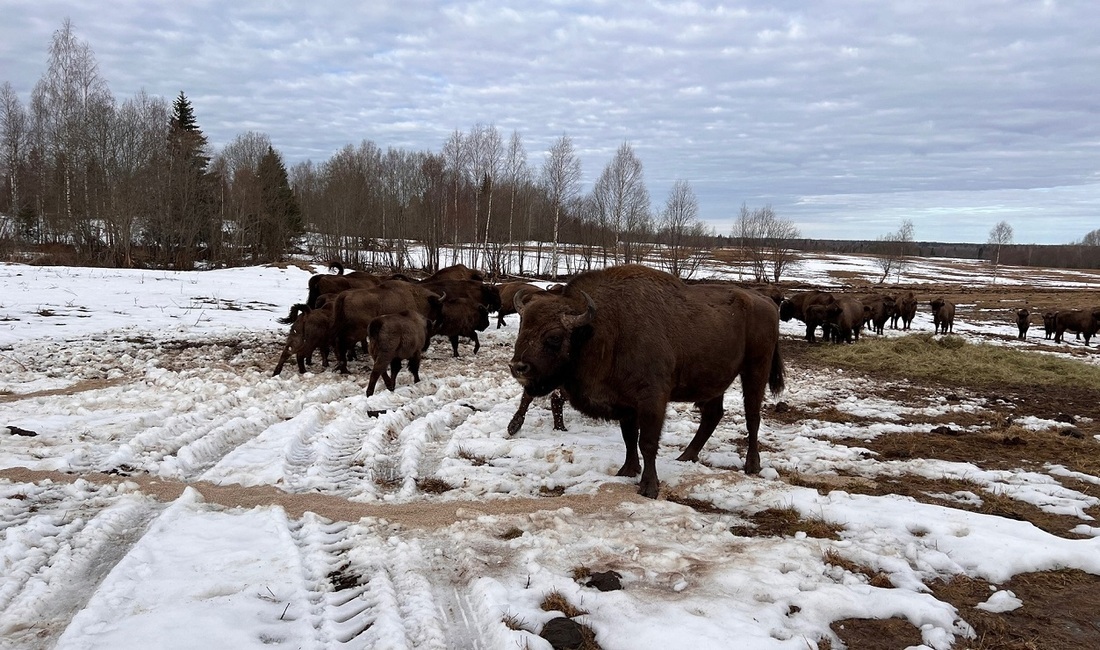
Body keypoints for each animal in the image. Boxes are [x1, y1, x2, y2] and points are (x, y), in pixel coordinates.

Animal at [510, 263, 787, 499]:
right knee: (713, 415)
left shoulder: (652, 400)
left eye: (554, 337)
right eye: (523, 328)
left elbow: (648, 442)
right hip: (713, 381)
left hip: (755, 370)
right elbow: (629, 438)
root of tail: (766, 302)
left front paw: (649, 486)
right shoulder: (625, 404)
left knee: (752, 416)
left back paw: (752, 465)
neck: (599, 329)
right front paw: (627, 471)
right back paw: (686, 456)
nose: (518, 367)